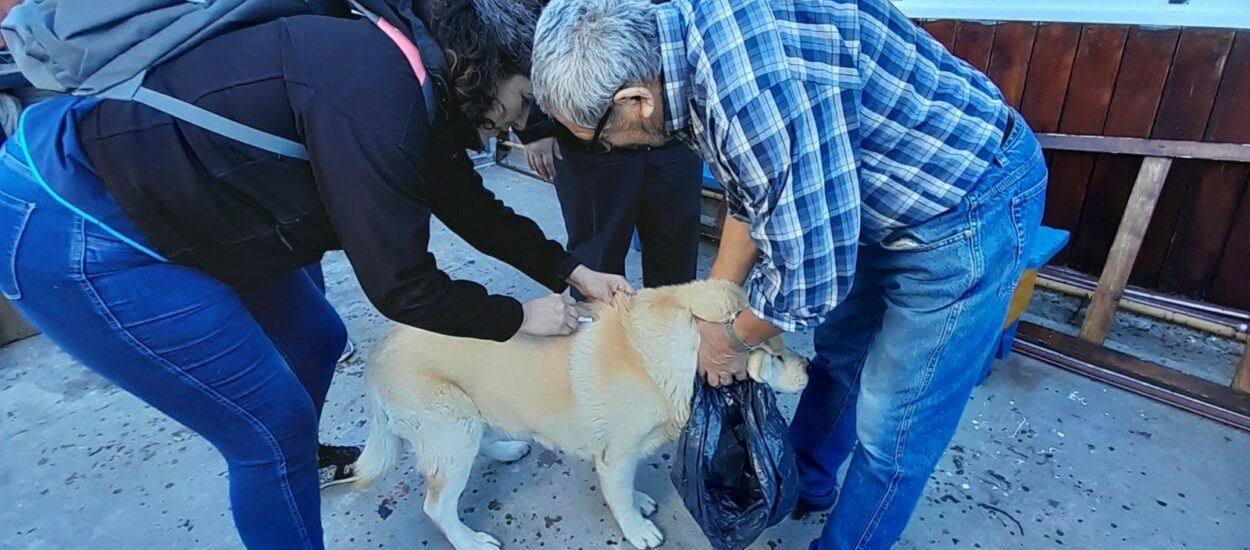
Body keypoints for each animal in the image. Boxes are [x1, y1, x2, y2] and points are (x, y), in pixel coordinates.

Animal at [347, 281, 805, 547]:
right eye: (776, 355)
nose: (808, 367)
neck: (659, 352)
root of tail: (376, 354)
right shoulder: (616, 456)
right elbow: (620, 494)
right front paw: (636, 528)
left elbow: (628, 488)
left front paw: (639, 502)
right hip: (451, 429)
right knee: (437, 507)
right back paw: (470, 541)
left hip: (467, 417)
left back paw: (507, 449)